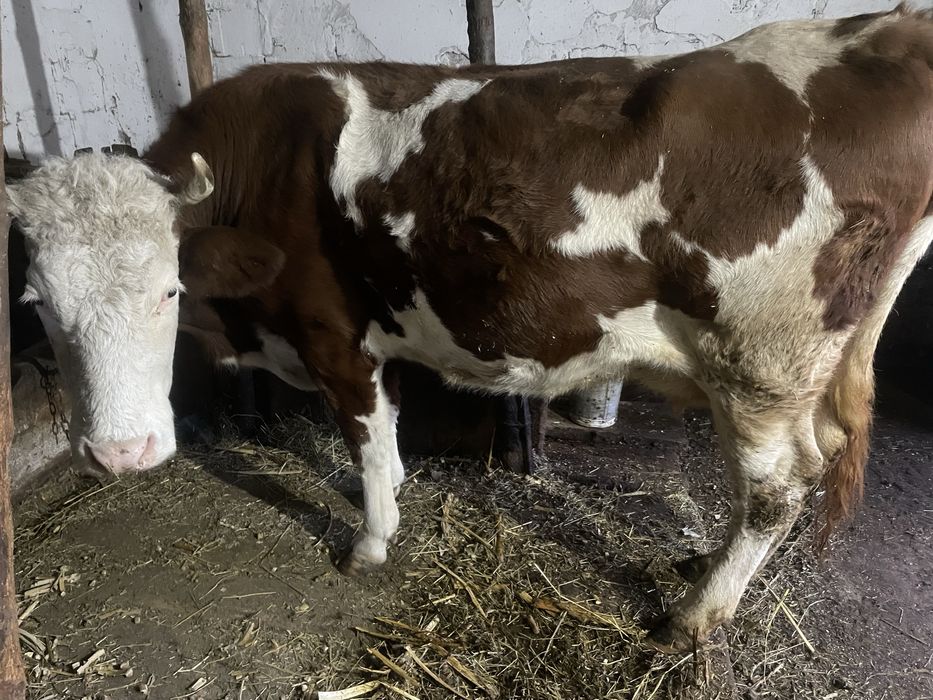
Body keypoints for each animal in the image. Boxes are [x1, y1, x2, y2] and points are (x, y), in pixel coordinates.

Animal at [8, 4, 932, 652]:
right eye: (38, 300)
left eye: (168, 289)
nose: (119, 454)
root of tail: (881, 29)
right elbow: (386, 438)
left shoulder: (335, 337)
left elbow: (365, 440)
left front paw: (370, 541)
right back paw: (698, 568)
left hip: (759, 362)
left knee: (776, 491)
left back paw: (693, 615)